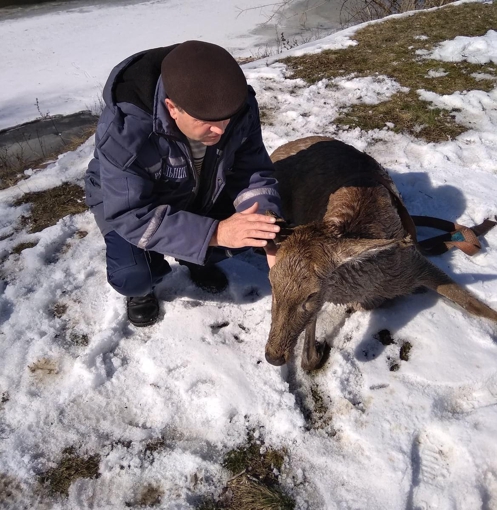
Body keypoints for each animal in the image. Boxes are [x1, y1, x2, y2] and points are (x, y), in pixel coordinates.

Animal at [264, 136, 496, 370]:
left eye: (311, 293)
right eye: (271, 283)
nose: (273, 357)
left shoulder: (414, 262)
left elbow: (474, 305)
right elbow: (308, 358)